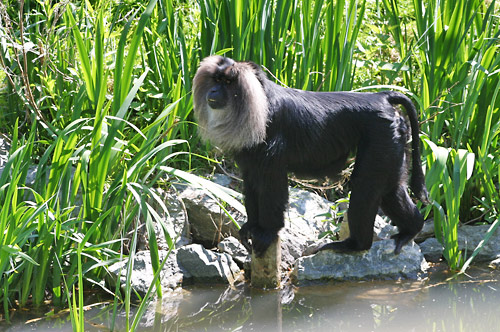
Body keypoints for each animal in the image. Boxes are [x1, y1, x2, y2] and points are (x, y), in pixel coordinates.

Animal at [193, 55, 428, 256]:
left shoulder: (272, 148)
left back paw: (355, 245)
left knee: (366, 186)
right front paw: (251, 226)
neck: (259, 101)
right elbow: (251, 182)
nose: (213, 91)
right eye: (217, 79)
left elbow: (272, 186)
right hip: (392, 140)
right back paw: (411, 229)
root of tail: (382, 97)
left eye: (228, 82)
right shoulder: (250, 158)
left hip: (382, 136)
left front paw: (267, 232)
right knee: (390, 189)